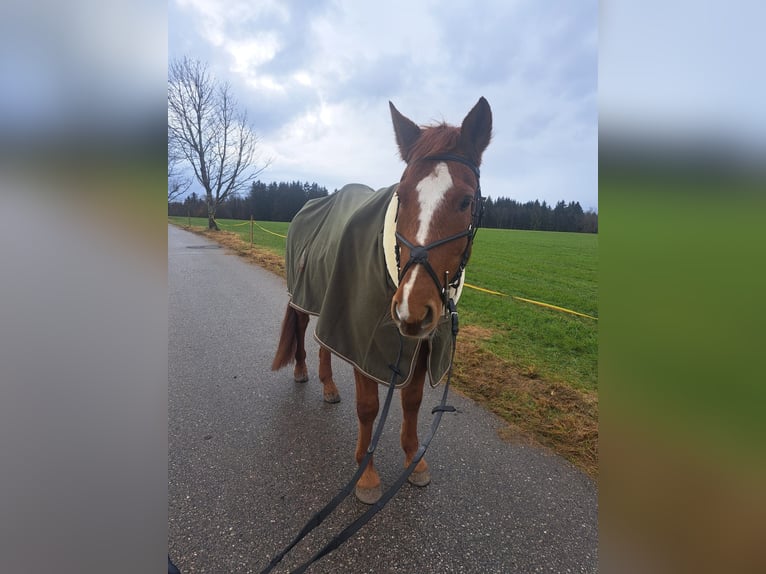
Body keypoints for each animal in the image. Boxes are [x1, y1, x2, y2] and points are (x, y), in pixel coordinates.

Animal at [272, 97, 496, 506]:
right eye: (401, 197)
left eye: (466, 200)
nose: (411, 308)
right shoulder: (363, 342)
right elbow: (369, 408)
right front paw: (366, 475)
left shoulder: (422, 344)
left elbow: (412, 402)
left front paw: (413, 461)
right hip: (304, 296)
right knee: (301, 328)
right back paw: (301, 371)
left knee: (323, 341)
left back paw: (329, 388)